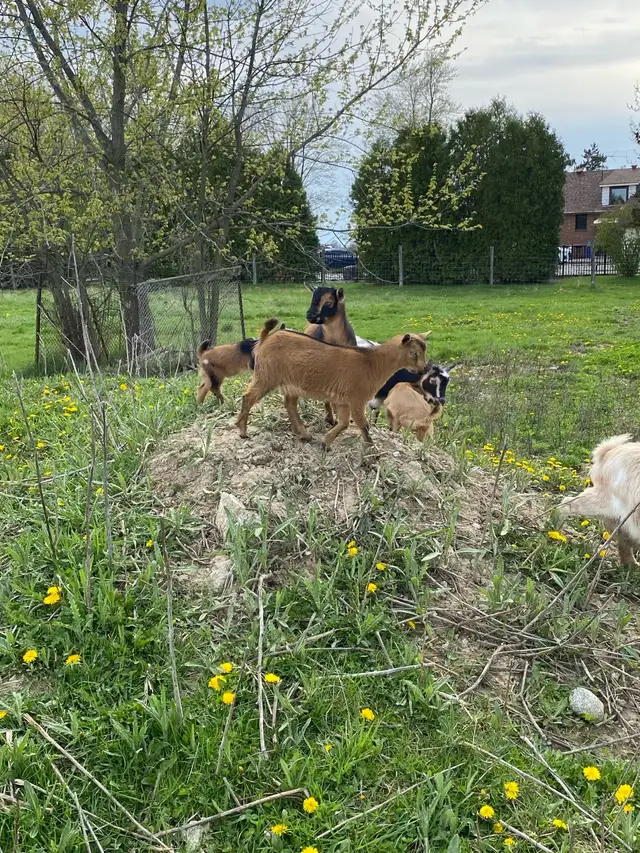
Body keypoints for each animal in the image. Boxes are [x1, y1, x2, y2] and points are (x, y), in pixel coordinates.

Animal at [236, 319, 429, 448]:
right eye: (413, 353)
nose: (424, 369)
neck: (373, 363)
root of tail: (266, 339)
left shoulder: (343, 400)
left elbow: (344, 423)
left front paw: (326, 443)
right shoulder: (357, 399)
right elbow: (363, 425)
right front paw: (372, 450)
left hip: (289, 383)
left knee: (289, 404)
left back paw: (304, 435)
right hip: (266, 375)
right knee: (248, 397)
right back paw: (243, 431)